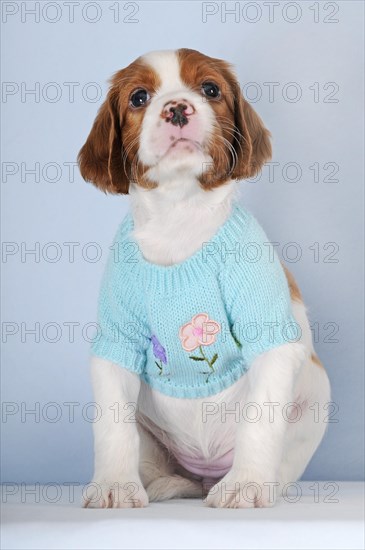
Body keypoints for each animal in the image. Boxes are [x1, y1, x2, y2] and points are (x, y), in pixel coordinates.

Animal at [77, 47, 330, 508]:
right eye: (138, 98)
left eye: (210, 89)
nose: (177, 108)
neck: (179, 217)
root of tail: (205, 472)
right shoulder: (115, 343)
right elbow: (111, 426)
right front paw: (113, 485)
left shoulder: (272, 342)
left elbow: (260, 421)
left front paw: (247, 484)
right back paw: (162, 484)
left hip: (316, 397)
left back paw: (251, 482)